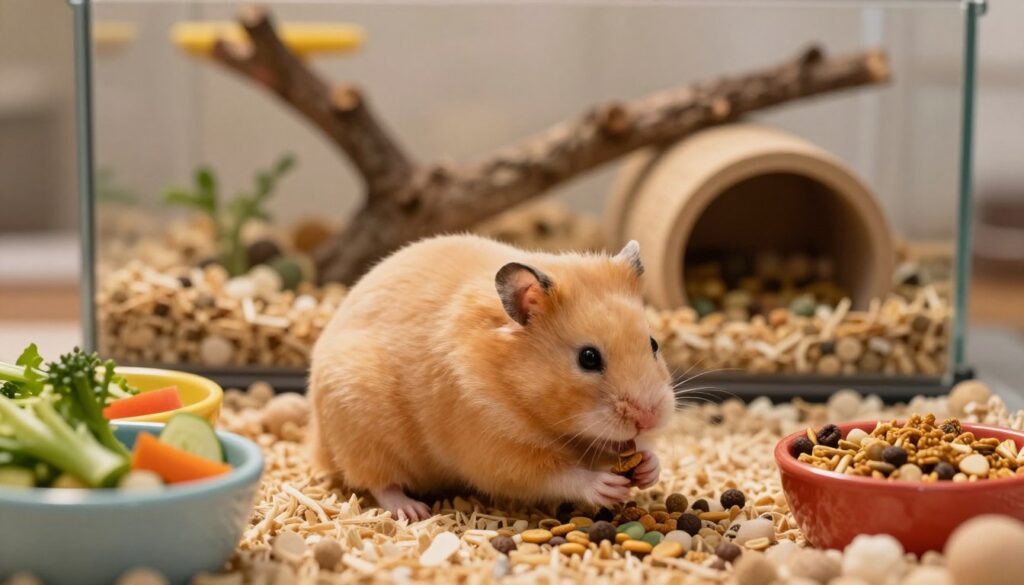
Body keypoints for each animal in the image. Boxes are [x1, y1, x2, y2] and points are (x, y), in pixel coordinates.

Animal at [309, 234, 673, 521]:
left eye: (653, 344)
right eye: (588, 358)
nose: (648, 418)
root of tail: (318, 441)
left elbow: (640, 451)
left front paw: (649, 467)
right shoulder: (498, 452)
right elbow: (557, 475)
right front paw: (606, 485)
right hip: (361, 429)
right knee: (378, 482)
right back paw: (413, 510)